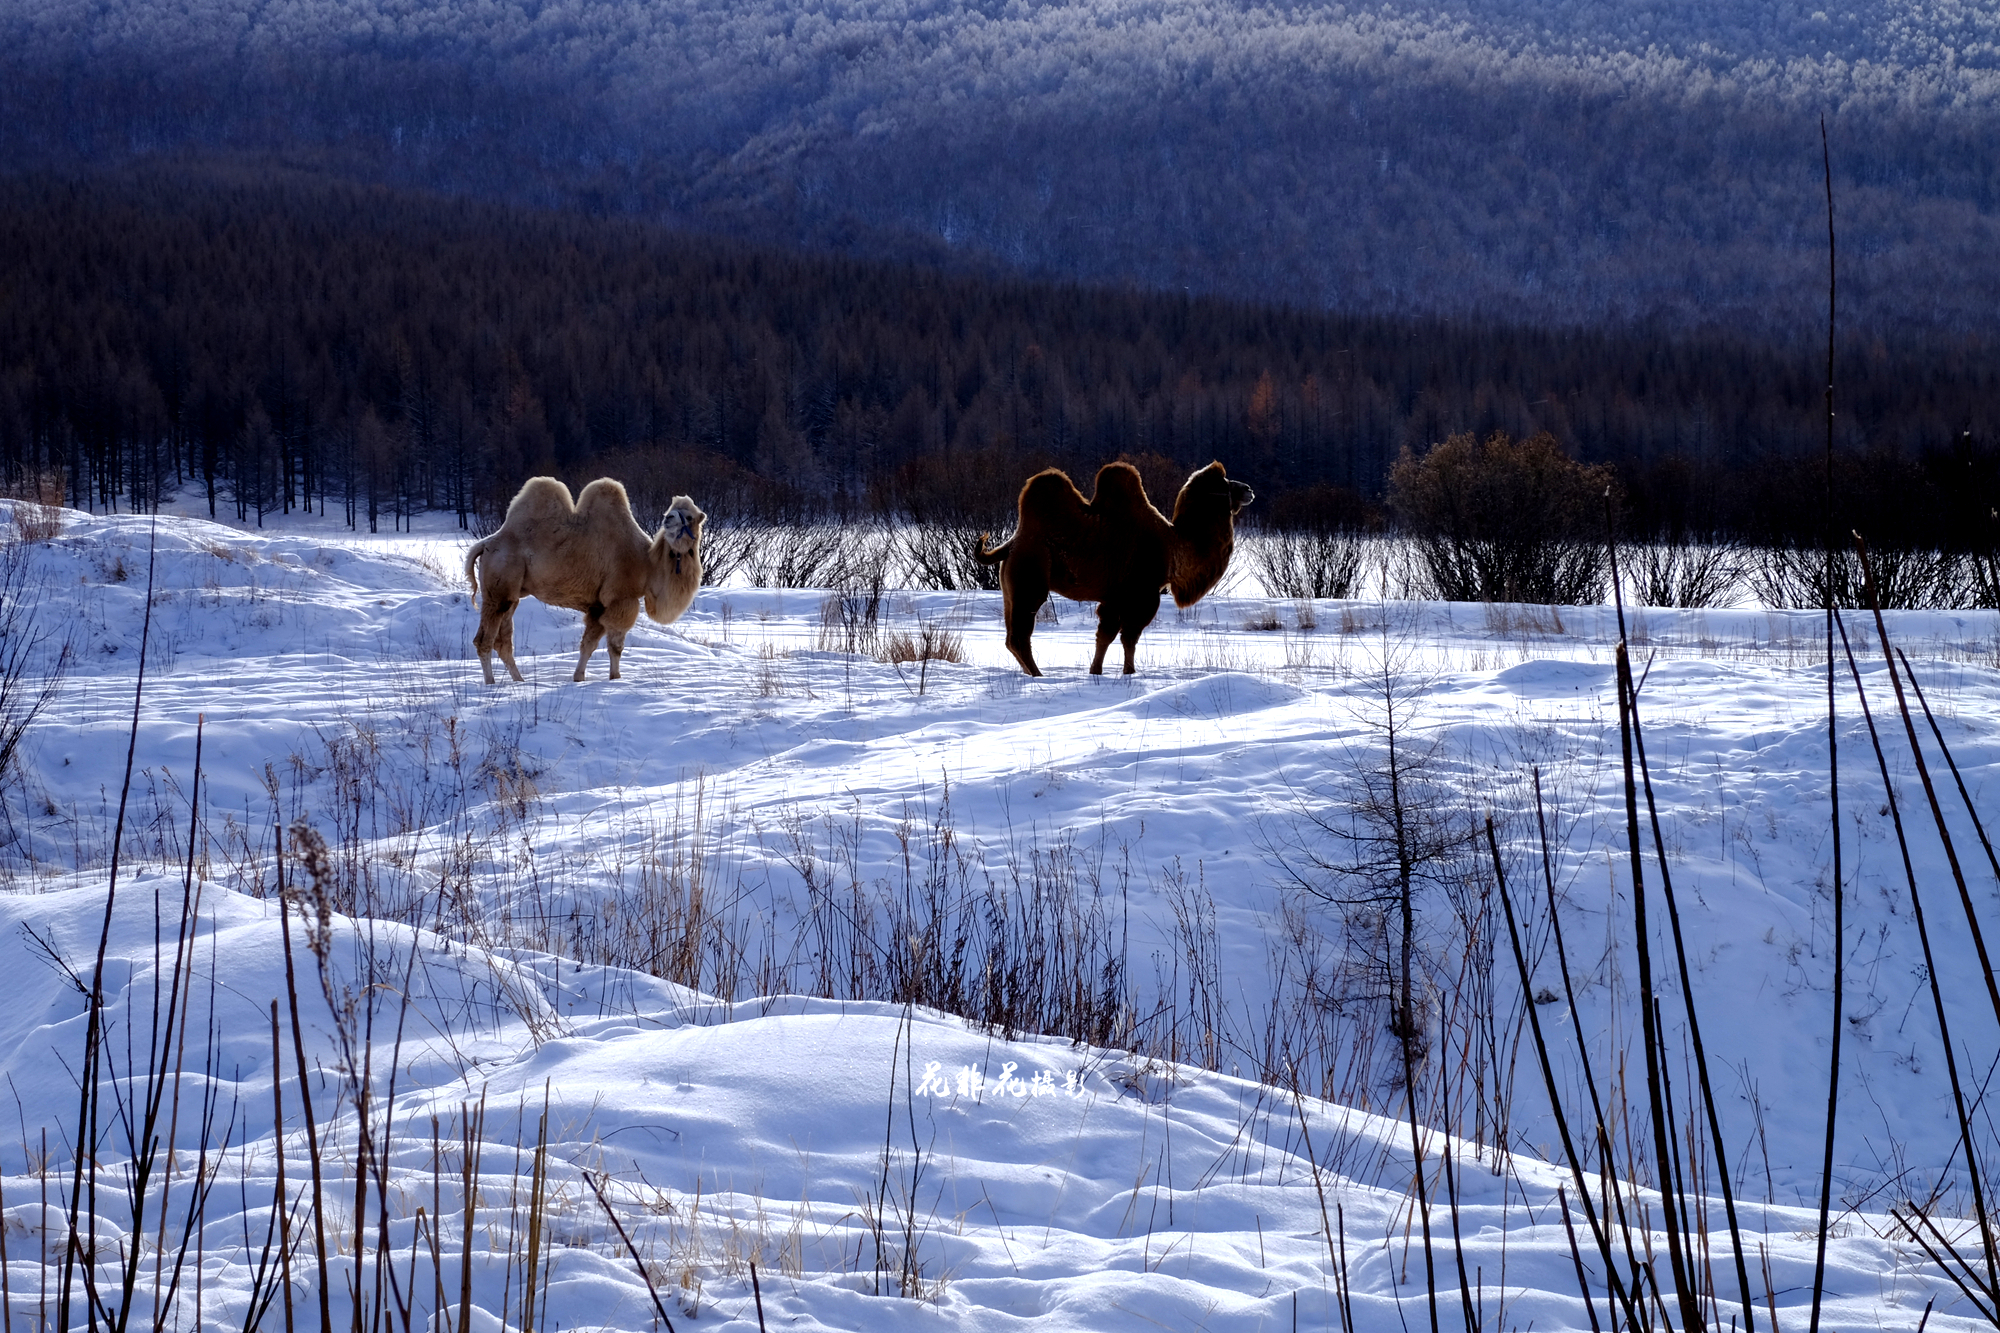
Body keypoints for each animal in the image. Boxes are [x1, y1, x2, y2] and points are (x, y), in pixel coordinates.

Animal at [462, 474, 704, 680]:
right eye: (672, 510)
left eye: (689, 515)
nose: (668, 519)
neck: (647, 564)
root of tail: (485, 544)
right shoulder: (621, 599)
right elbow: (616, 646)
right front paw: (615, 678)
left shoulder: (598, 606)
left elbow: (588, 645)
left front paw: (579, 678)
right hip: (498, 587)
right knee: (484, 640)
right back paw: (491, 683)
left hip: (512, 595)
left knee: (503, 641)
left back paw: (519, 681)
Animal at [968, 464, 1248, 676]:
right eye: (1224, 483)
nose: (1249, 489)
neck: (1173, 545)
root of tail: (1011, 544)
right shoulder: (1144, 593)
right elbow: (1128, 637)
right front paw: (1129, 672)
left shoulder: (1114, 597)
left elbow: (1106, 635)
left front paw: (1097, 671)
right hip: (1030, 577)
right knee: (1020, 635)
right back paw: (1038, 675)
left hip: (1010, 588)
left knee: (1011, 636)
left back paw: (1032, 673)